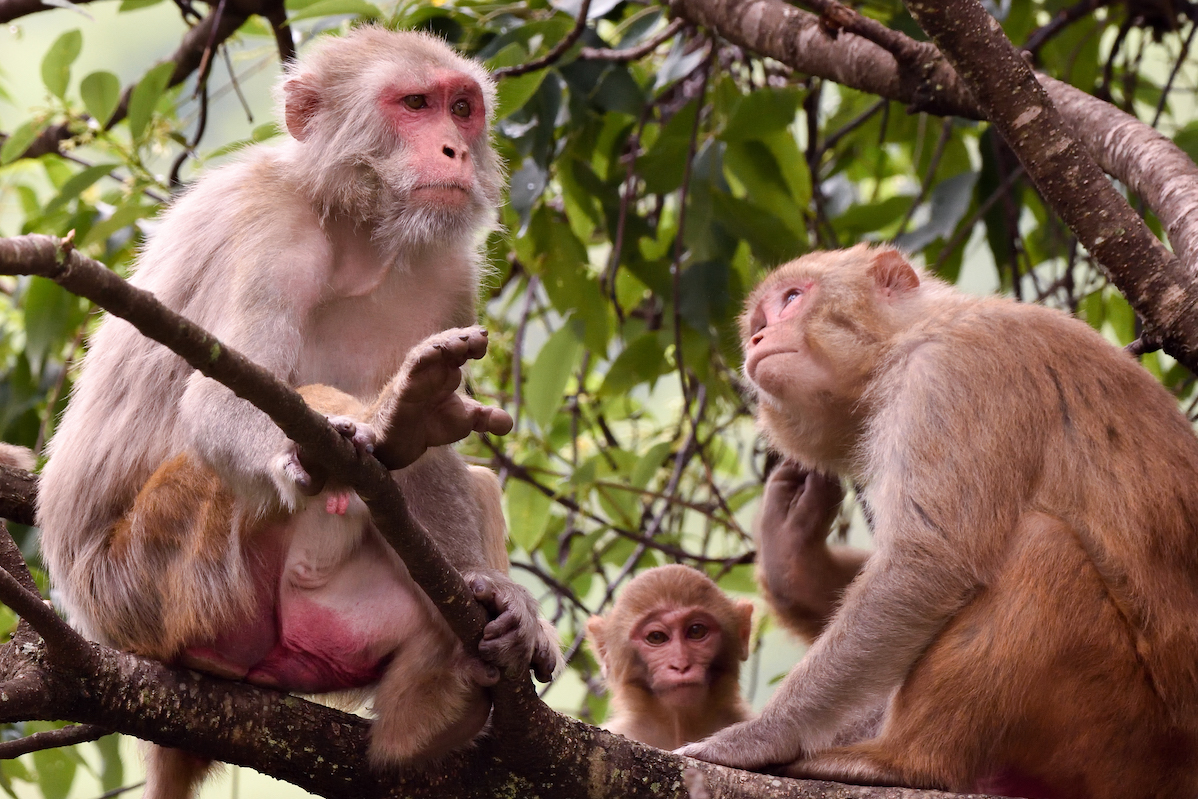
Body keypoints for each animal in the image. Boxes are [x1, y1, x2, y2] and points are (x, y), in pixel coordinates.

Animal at [36, 28, 559, 799]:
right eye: (415, 104)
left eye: (462, 108)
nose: (454, 150)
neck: (355, 231)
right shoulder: (271, 230)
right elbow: (217, 402)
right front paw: (385, 421)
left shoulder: (447, 273)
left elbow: (433, 463)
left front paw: (491, 586)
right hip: (160, 577)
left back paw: (434, 708)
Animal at [680, 244, 1198, 799]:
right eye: (759, 321)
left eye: (793, 298)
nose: (758, 338)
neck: (909, 336)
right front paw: (791, 561)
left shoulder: (953, 371)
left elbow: (925, 564)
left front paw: (763, 735)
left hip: (1126, 736)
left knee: (1041, 547)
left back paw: (905, 762)